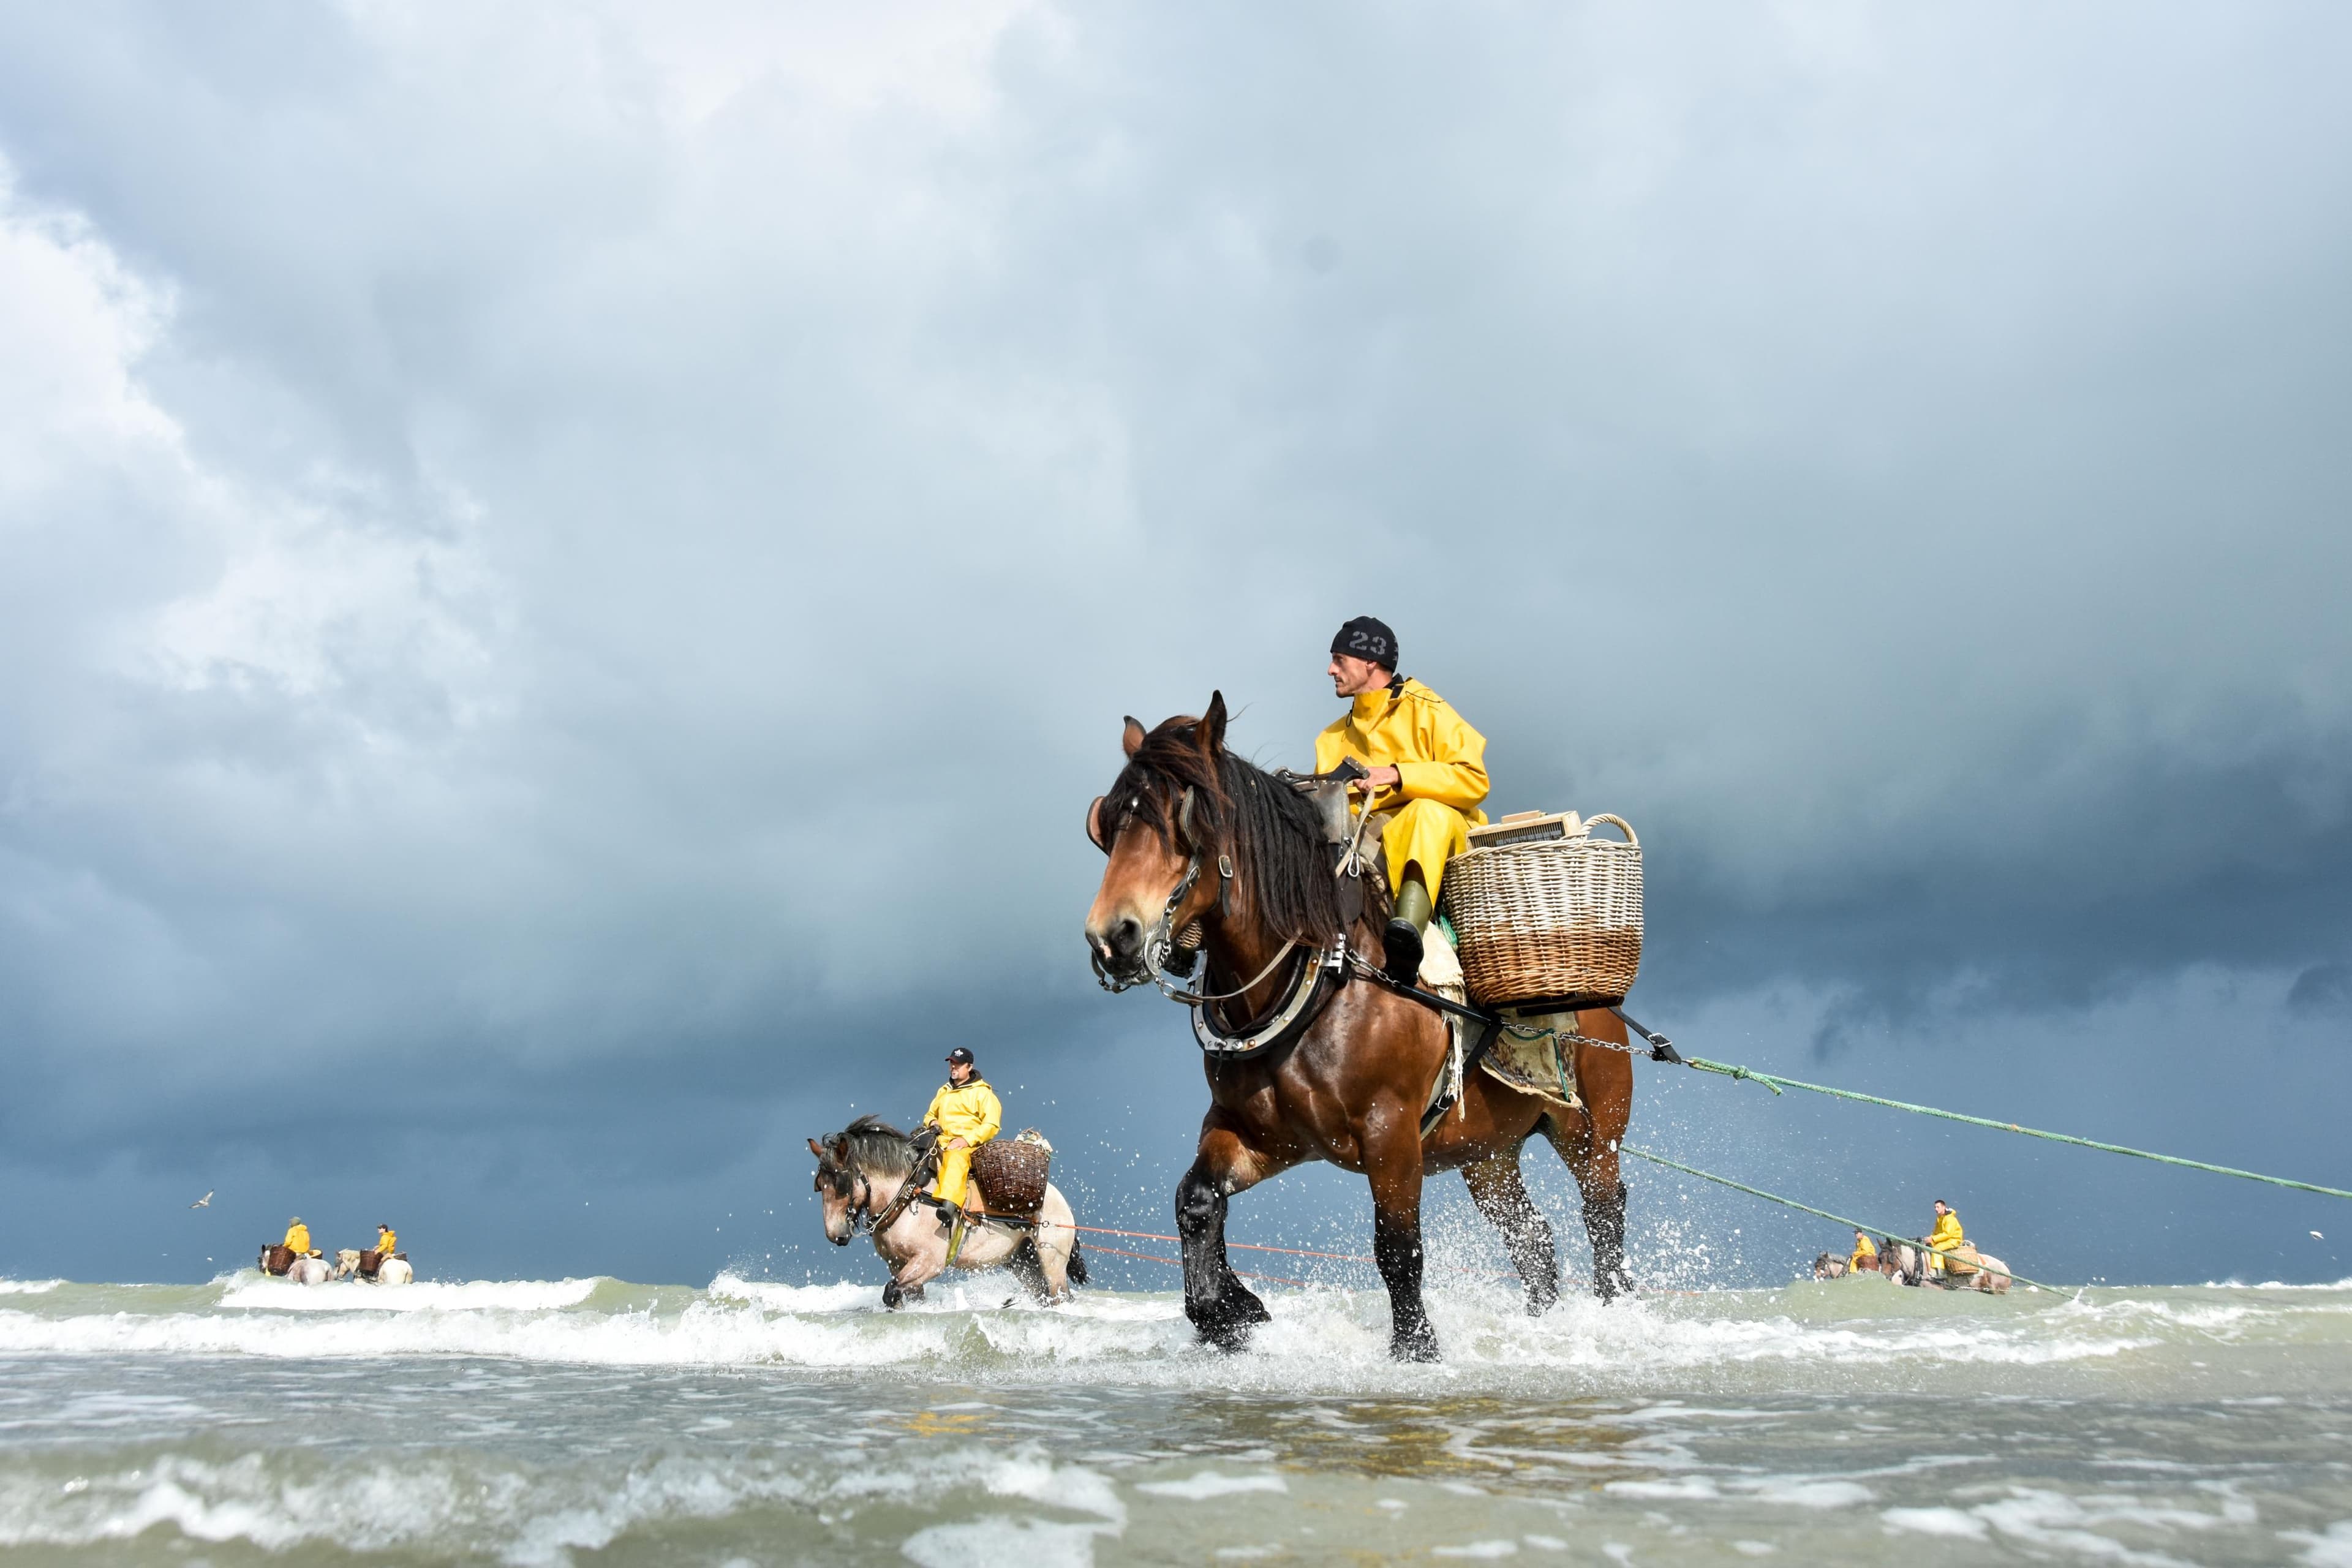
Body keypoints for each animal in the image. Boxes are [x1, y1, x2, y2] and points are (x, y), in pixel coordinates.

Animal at [809, 1117, 1086, 1308]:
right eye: (819, 1185)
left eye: (841, 1184)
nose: (835, 1235)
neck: (909, 1195)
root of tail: (1059, 1200)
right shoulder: (897, 1264)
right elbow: (903, 1295)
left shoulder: (930, 1262)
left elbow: (891, 1292)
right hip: (1024, 1263)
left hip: (1052, 1262)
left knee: (1060, 1296)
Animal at [1083, 695, 1638, 1361]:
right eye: (1106, 827)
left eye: (1186, 819)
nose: (1112, 937)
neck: (1321, 976)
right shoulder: (1258, 1134)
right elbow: (1196, 1201)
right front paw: (1228, 1313)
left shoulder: (1390, 1132)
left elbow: (1398, 1249)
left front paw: (1416, 1348)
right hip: (1489, 1152)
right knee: (1534, 1239)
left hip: (1591, 1130)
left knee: (1603, 1214)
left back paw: (1611, 1314)